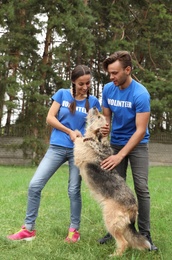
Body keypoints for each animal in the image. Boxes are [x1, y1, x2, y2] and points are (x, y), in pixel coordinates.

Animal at [74, 107, 150, 256]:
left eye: (99, 117)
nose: (95, 107)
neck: (96, 140)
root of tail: (133, 209)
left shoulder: (79, 153)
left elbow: (78, 141)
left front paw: (75, 134)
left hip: (110, 220)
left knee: (124, 242)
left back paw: (114, 255)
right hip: (121, 225)